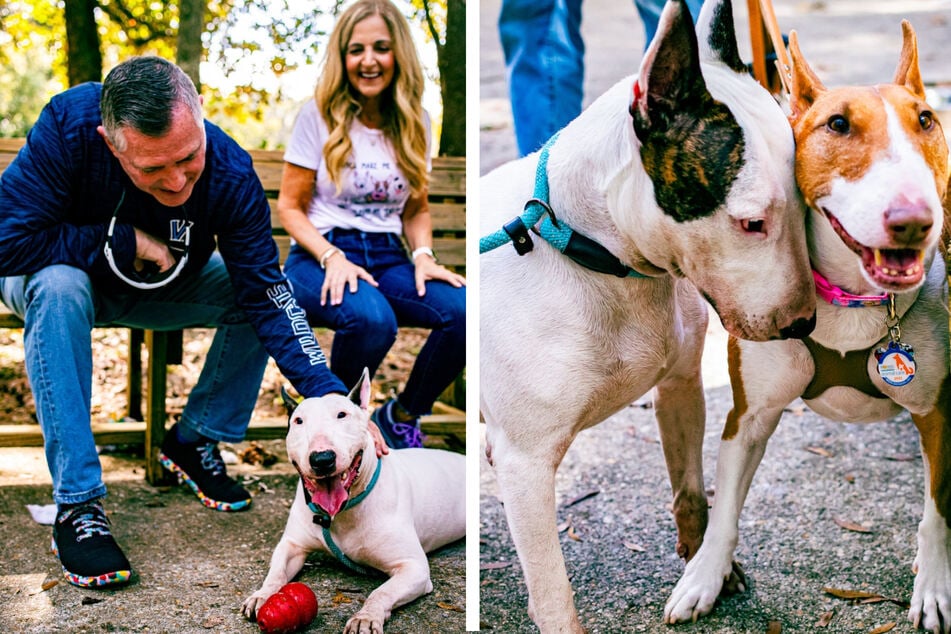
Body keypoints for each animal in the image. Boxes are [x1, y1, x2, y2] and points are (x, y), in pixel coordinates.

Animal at [242, 368, 464, 628]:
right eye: (298, 421)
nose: (322, 459)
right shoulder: (292, 545)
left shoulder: (413, 567)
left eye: (342, 415)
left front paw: (366, 617)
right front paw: (262, 595)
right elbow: (276, 572)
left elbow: (381, 592)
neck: (341, 513)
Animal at [484, 0, 820, 628]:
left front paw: (707, 571)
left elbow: (691, 490)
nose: (802, 326)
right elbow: (552, 590)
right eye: (751, 222)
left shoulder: (681, 385)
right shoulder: (526, 463)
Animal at [664, 21, 951, 632]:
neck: (854, 301)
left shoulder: (940, 413)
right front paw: (704, 578)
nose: (914, 220)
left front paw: (935, 585)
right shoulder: (749, 416)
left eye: (925, 120)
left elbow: (937, 511)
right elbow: (725, 510)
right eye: (837, 124)